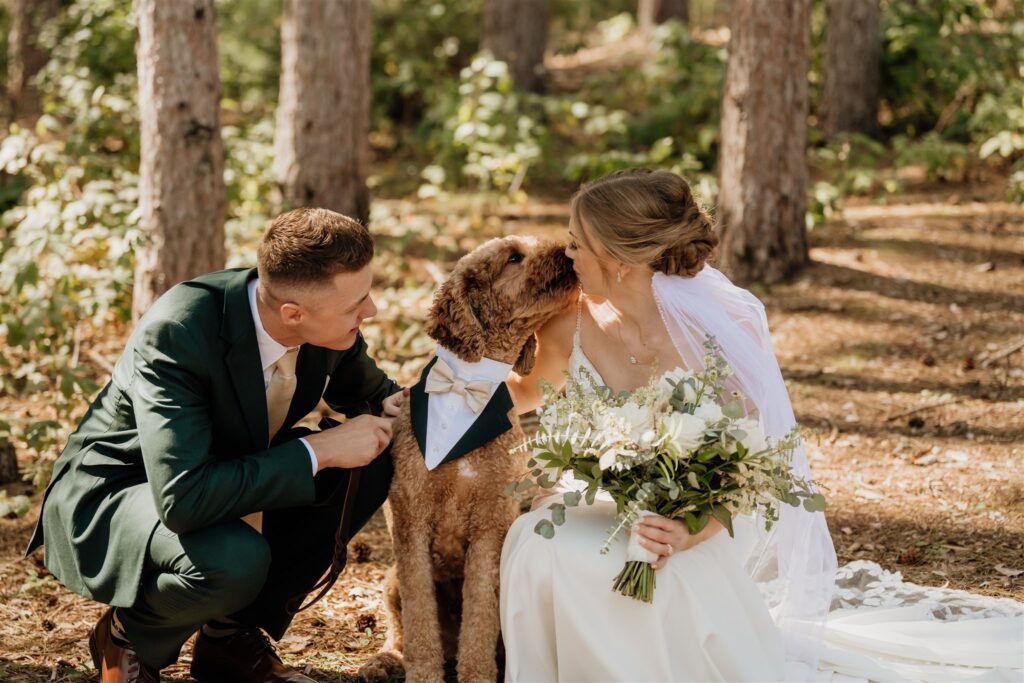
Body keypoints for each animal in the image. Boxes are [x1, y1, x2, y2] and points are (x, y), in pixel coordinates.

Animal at [362, 236, 581, 683]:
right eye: (513, 257)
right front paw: (423, 675)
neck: (467, 387)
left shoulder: (489, 524)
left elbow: (480, 618)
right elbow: (420, 623)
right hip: (391, 579)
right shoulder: (411, 523)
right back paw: (384, 660)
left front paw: (476, 674)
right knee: (401, 632)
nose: (566, 248)